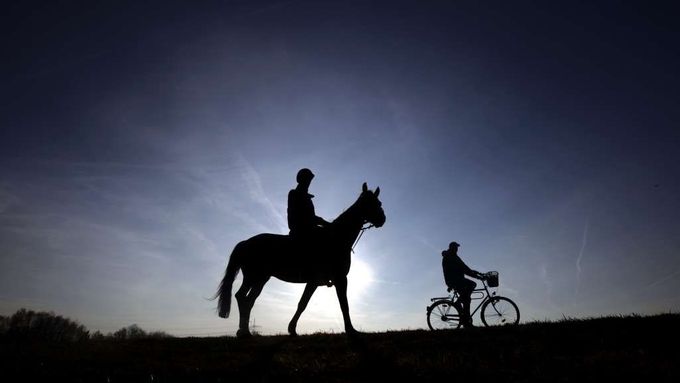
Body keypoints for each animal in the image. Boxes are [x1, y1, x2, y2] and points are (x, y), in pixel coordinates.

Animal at [216, 184, 388, 338]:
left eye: (379, 202)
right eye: (369, 203)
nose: (382, 219)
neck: (336, 239)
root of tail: (245, 242)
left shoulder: (315, 282)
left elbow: (303, 304)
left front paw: (292, 329)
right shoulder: (339, 279)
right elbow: (343, 304)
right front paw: (351, 330)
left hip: (261, 279)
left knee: (248, 300)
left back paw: (245, 331)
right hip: (253, 277)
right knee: (241, 297)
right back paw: (243, 332)